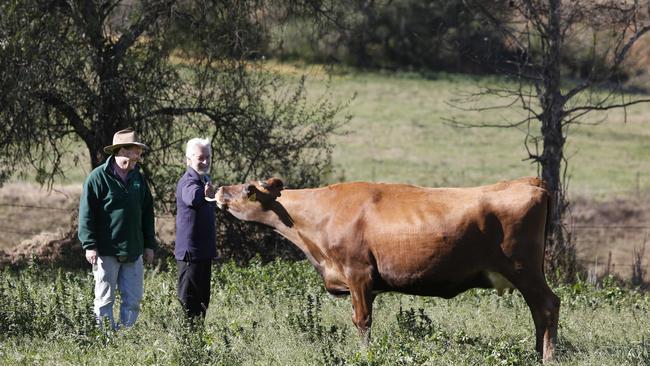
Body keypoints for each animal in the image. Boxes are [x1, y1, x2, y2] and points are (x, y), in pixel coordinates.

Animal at [211, 177, 556, 364]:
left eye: (247, 189)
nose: (218, 188)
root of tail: (529, 182)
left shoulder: (358, 273)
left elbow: (362, 321)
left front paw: (365, 356)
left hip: (524, 269)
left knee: (548, 305)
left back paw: (548, 357)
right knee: (539, 311)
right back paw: (536, 352)